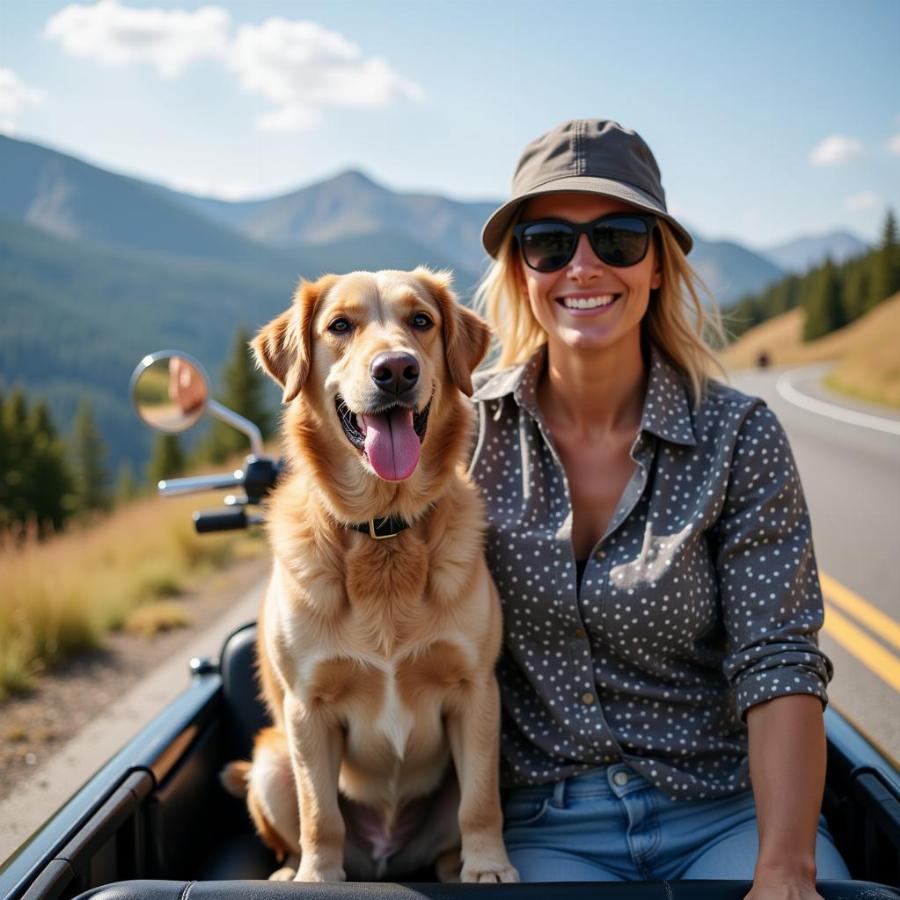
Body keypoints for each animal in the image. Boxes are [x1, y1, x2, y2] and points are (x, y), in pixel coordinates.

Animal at [222, 268, 520, 884]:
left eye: (421, 321)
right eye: (340, 325)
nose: (397, 369)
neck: (384, 531)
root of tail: (386, 858)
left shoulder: (476, 691)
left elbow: (480, 801)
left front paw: (487, 867)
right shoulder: (307, 709)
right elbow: (320, 813)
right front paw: (317, 878)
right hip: (270, 759)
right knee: (293, 826)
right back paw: (291, 872)